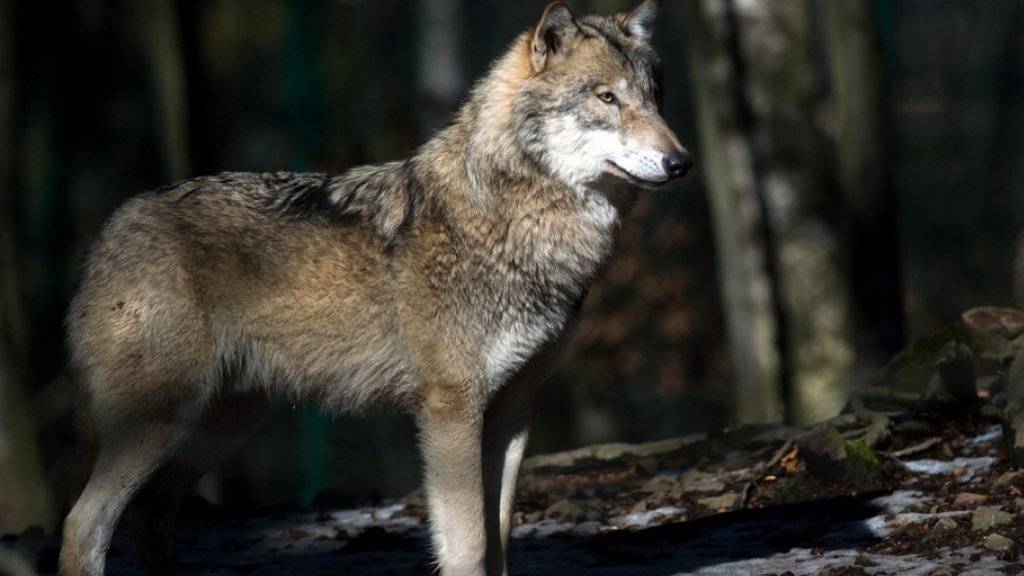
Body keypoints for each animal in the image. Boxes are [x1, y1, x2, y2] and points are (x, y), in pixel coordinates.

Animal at [59, 2, 692, 569]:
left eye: (654, 98)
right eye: (606, 98)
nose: (681, 163)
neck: (510, 220)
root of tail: (110, 227)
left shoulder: (514, 411)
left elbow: (501, 538)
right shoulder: (450, 409)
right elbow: (468, 545)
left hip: (222, 427)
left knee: (148, 518)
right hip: (161, 423)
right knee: (83, 524)